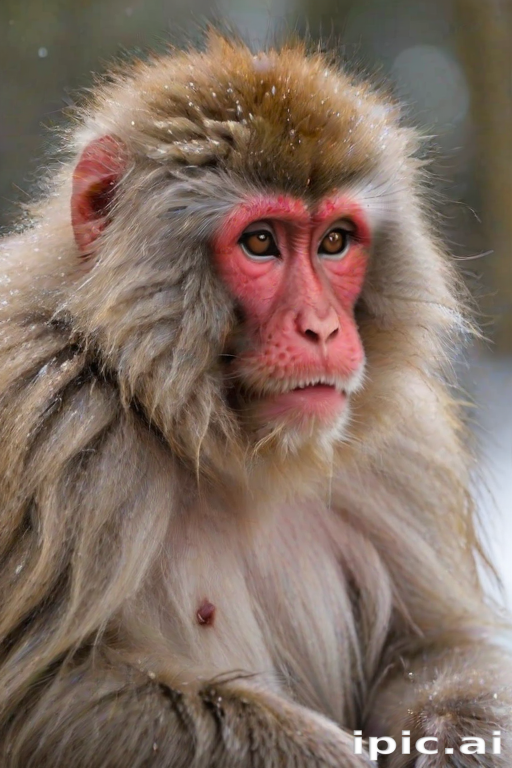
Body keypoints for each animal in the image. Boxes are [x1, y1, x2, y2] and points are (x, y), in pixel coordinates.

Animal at [0, 29, 509, 767]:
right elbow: (46, 694)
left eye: (335, 241)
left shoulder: (403, 446)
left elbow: (435, 647)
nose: (323, 328)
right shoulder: (49, 410)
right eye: (261, 242)